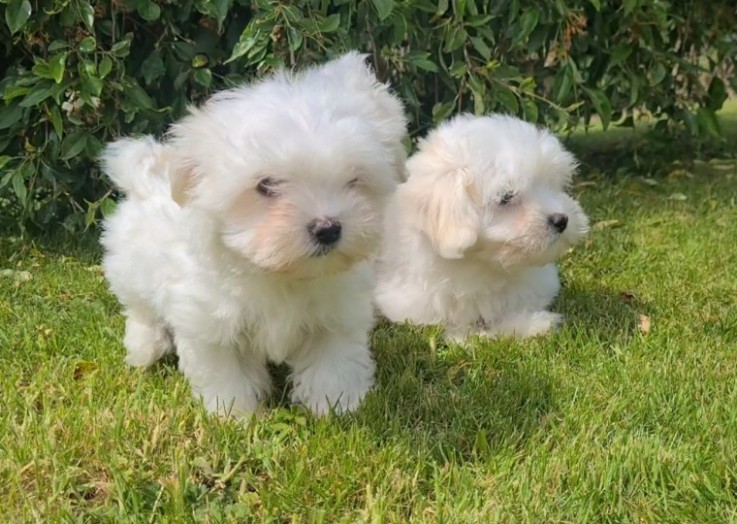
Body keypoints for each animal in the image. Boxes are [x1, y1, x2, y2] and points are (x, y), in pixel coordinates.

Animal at [100, 53, 406, 418]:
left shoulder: (336, 316)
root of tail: (146, 176)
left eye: (354, 179)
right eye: (267, 185)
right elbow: (226, 371)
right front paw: (234, 415)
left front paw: (334, 406)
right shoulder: (210, 324)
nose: (328, 228)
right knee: (140, 309)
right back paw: (146, 346)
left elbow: (332, 362)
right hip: (130, 270)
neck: (279, 273)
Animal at [374, 114, 588, 342]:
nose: (561, 220)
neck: (483, 266)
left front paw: (534, 323)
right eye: (506, 197)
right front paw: (472, 337)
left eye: (550, 185)